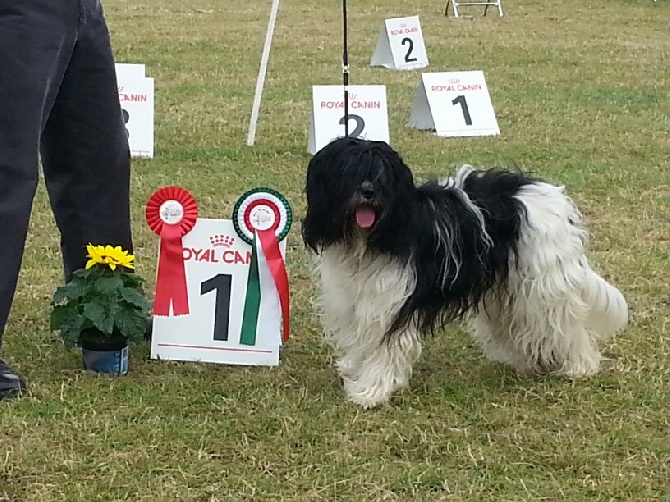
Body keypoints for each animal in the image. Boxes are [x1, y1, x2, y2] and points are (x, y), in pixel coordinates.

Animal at [304, 136, 632, 408]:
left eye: (382, 174)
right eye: (350, 170)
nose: (369, 192)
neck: (369, 240)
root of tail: (544, 192)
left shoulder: (392, 303)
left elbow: (385, 347)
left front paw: (371, 391)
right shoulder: (353, 298)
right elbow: (360, 339)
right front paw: (354, 369)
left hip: (543, 283)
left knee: (566, 324)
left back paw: (580, 366)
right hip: (509, 287)